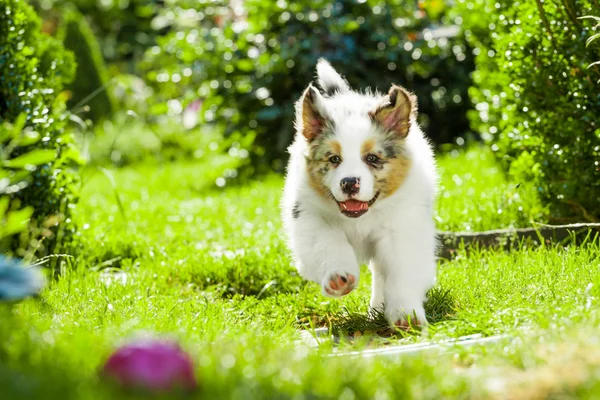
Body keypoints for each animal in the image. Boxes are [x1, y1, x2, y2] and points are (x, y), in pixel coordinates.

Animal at [282, 59, 436, 328]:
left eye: (372, 158)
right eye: (334, 159)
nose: (349, 183)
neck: (362, 217)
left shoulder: (402, 229)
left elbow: (401, 272)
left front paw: (405, 314)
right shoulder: (308, 217)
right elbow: (327, 243)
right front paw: (338, 277)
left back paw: (378, 309)